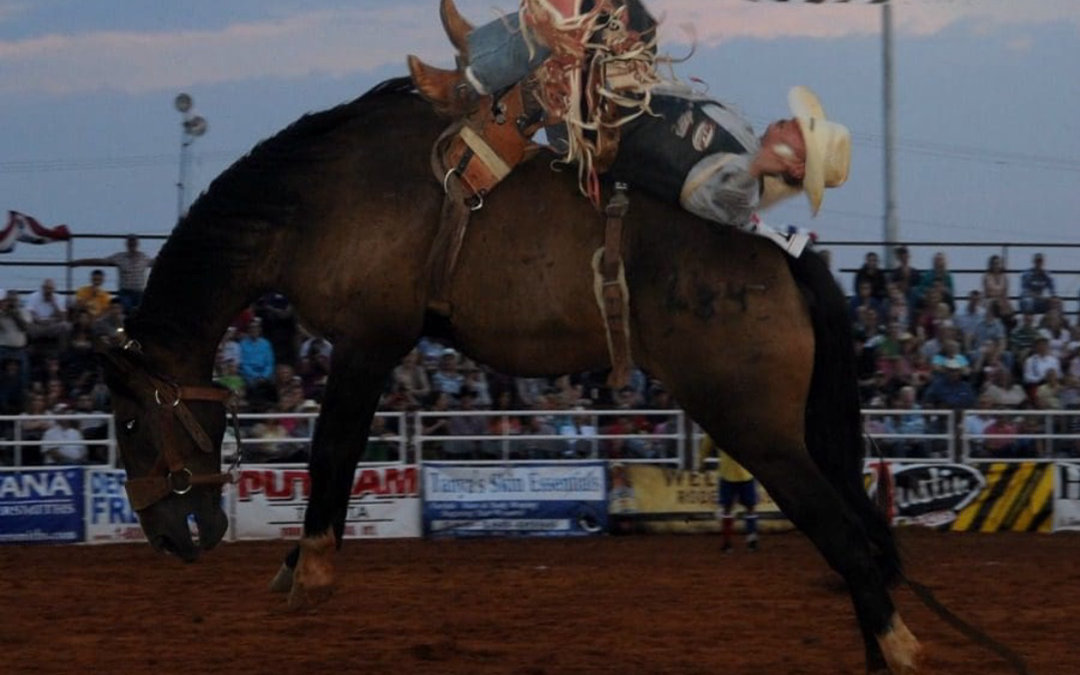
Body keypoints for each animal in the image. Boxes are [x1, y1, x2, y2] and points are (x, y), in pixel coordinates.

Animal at [100, 77, 920, 673]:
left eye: (132, 421)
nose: (169, 536)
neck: (315, 200)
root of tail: (784, 253)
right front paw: (299, 562)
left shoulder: (369, 341)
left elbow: (332, 451)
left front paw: (311, 571)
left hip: (758, 429)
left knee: (846, 540)